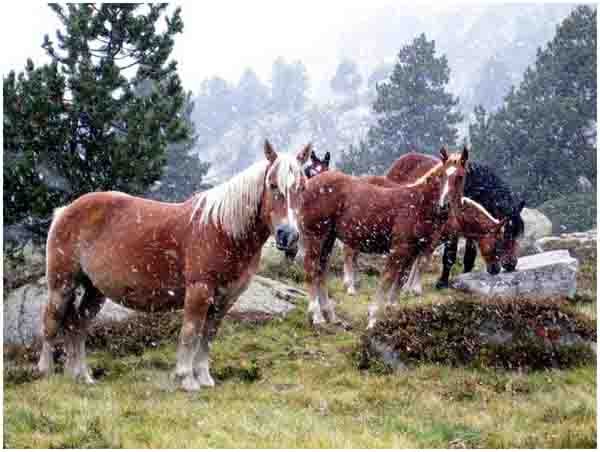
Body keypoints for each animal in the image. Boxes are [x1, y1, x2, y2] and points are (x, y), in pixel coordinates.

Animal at [38, 141, 310, 392]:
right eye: (273, 185)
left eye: (301, 187)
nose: (288, 235)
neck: (223, 229)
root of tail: (66, 210)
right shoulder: (199, 290)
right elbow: (190, 333)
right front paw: (186, 379)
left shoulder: (225, 299)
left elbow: (208, 336)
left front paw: (204, 378)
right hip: (62, 285)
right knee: (51, 324)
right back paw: (46, 372)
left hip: (95, 291)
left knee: (77, 326)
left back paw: (81, 376)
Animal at [300, 148, 468, 328]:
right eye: (443, 175)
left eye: (460, 176)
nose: (444, 205)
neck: (418, 205)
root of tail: (309, 184)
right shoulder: (399, 249)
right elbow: (387, 279)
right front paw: (373, 319)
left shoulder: (412, 252)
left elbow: (400, 281)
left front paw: (392, 312)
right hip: (316, 236)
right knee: (311, 269)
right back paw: (317, 316)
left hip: (328, 238)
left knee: (321, 271)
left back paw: (331, 315)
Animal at [436, 162, 524, 290]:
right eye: (504, 234)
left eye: (517, 233)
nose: (511, 264)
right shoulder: (453, 231)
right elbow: (449, 257)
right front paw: (442, 282)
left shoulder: (472, 231)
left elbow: (469, 256)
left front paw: (466, 275)